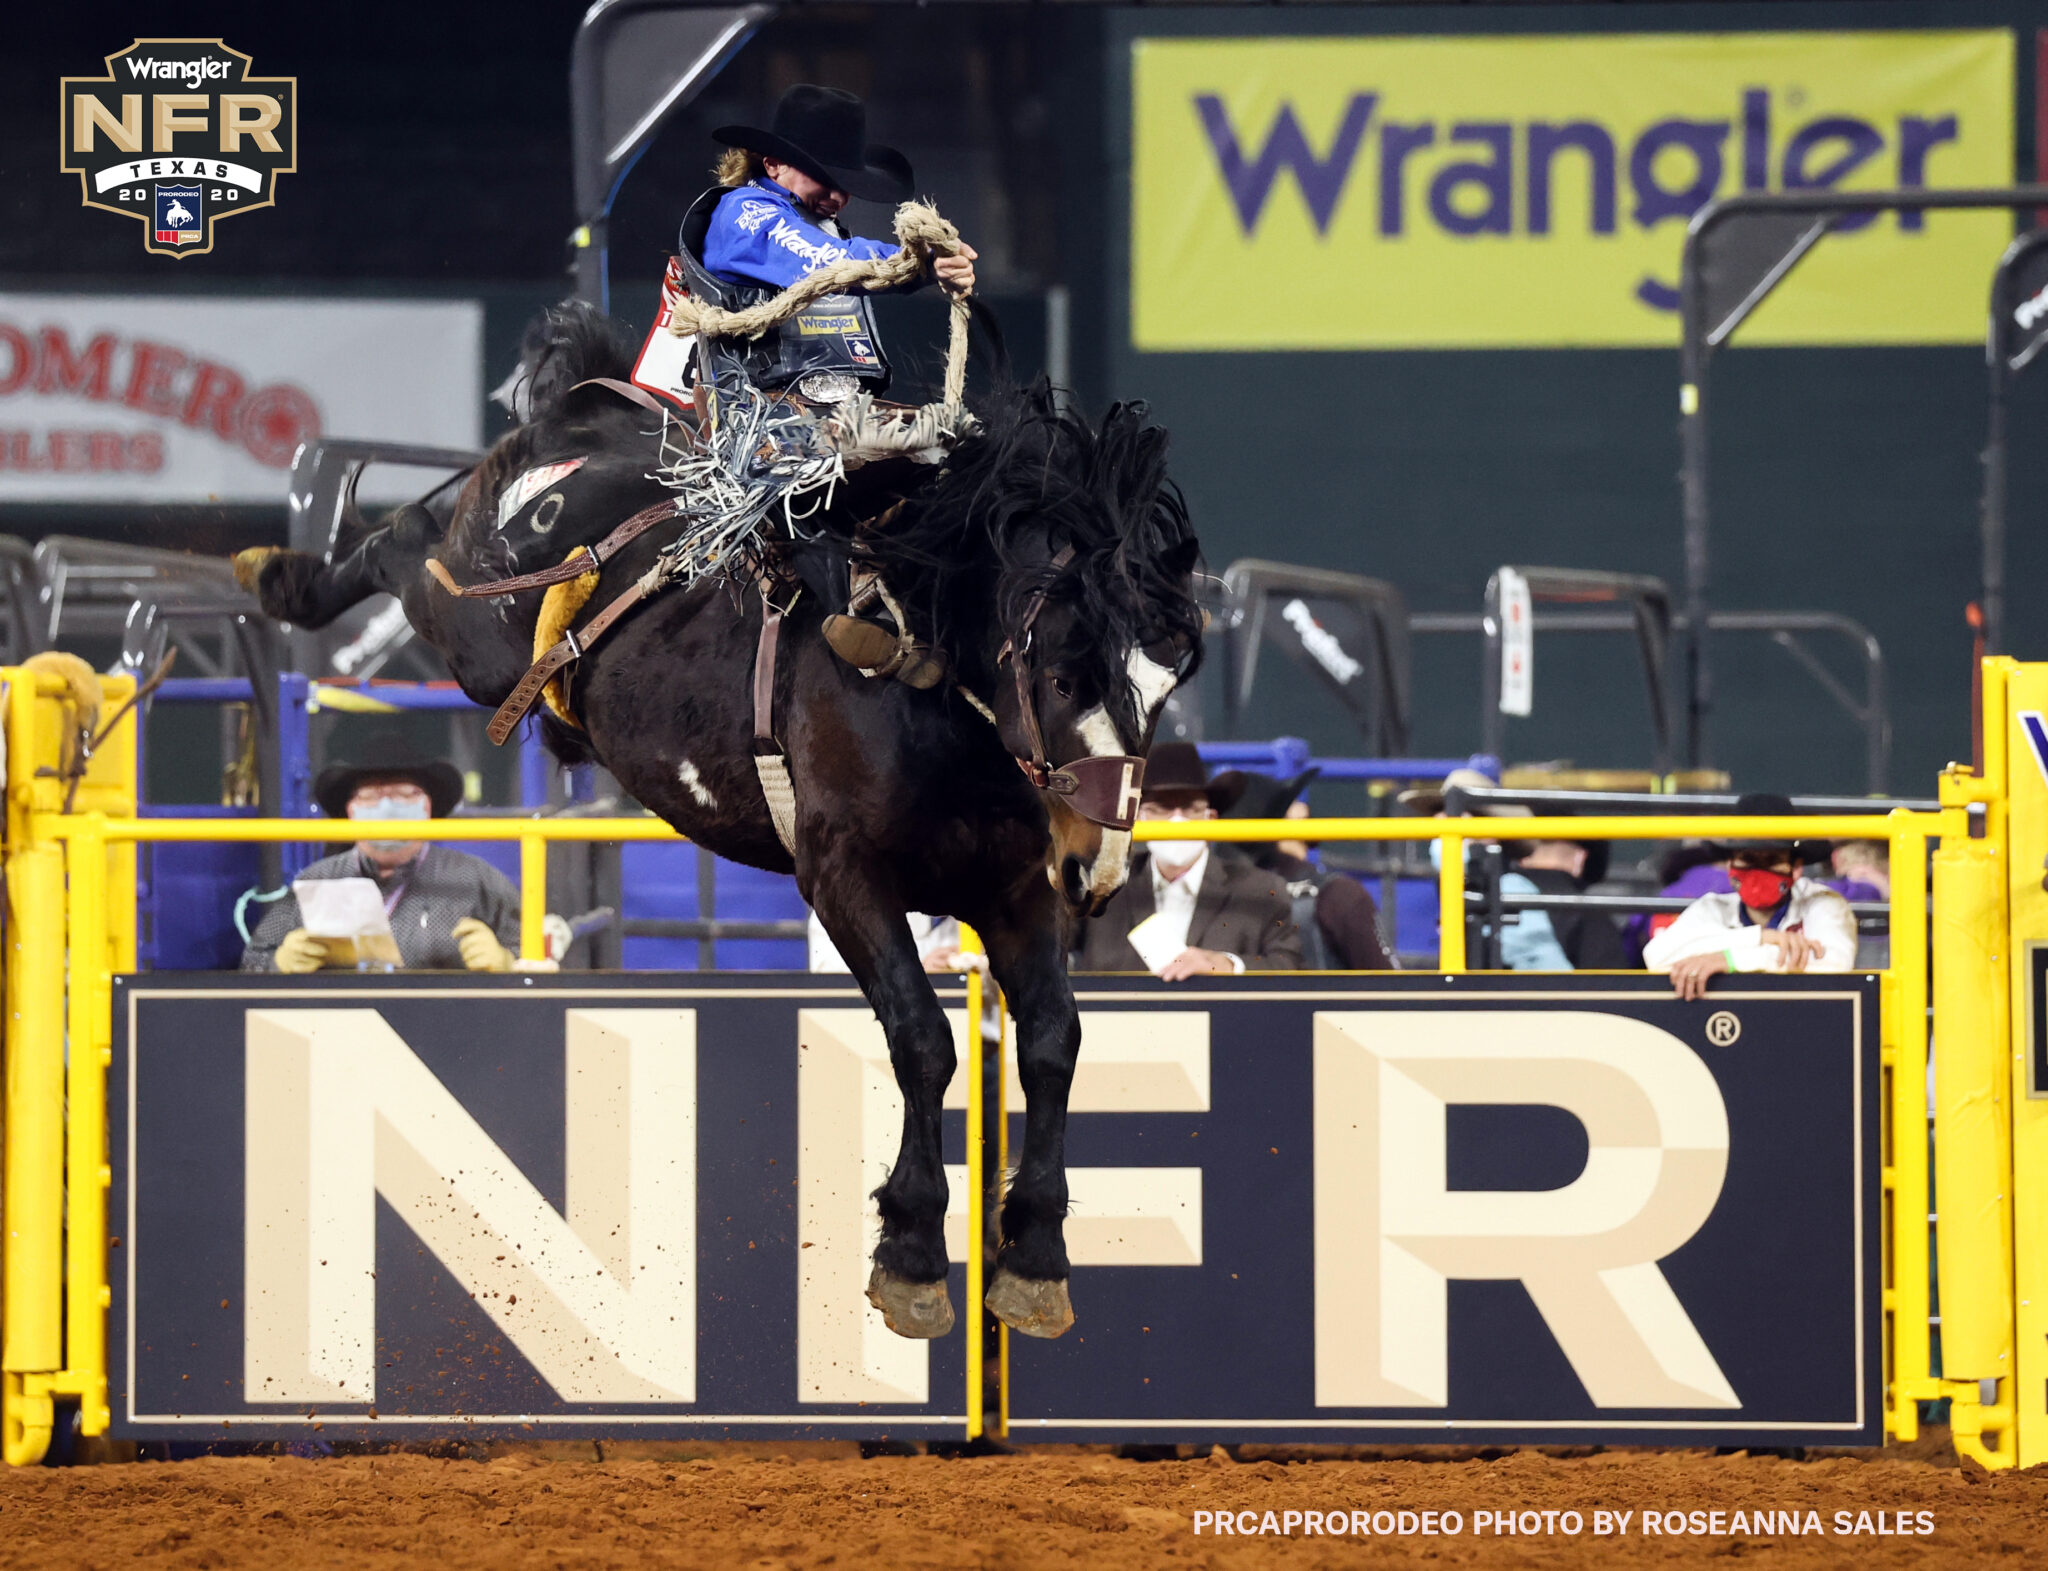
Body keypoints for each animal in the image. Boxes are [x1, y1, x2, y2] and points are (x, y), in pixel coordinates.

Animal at [237, 303, 1196, 1343]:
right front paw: (908, 1251)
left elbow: (1054, 1038)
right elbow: (922, 1038)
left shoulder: (1016, 888)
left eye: (1166, 685)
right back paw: (283, 574)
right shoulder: (843, 876)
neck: (933, 696)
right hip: (475, 632)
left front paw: (1036, 1256)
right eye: (1061, 676)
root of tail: (607, 402)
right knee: (408, 545)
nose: (1100, 870)